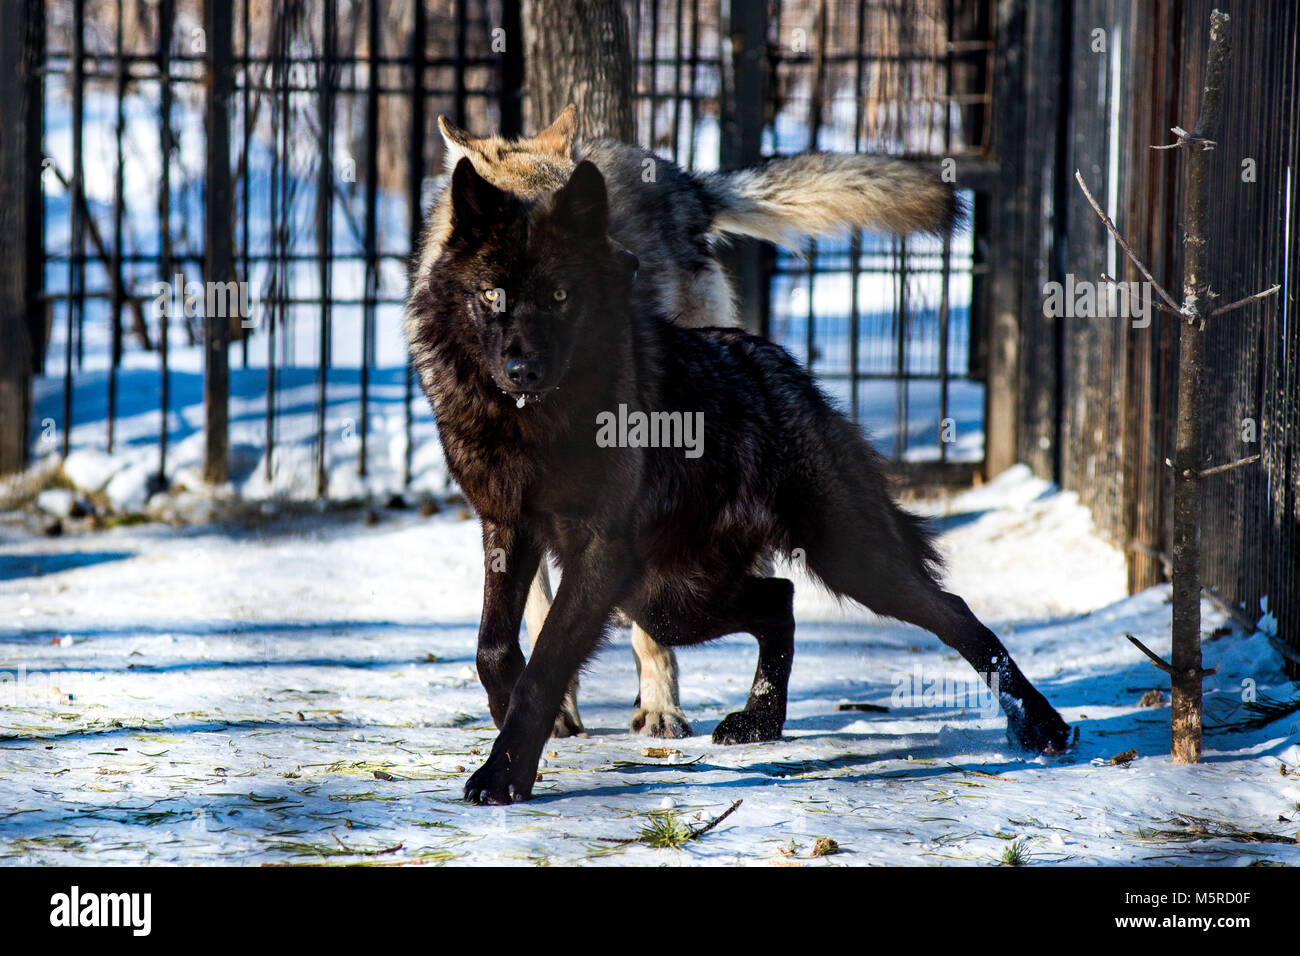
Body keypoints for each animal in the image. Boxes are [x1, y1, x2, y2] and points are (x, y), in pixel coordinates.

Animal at [405, 157, 1071, 804]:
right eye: (492, 294)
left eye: (561, 294)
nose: (524, 368)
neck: (531, 425)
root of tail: (784, 367)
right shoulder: (507, 528)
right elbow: (495, 651)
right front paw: (511, 726)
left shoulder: (596, 552)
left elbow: (543, 667)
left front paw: (503, 773)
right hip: (665, 600)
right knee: (781, 598)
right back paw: (761, 721)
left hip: (840, 562)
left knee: (950, 609)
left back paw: (1040, 725)